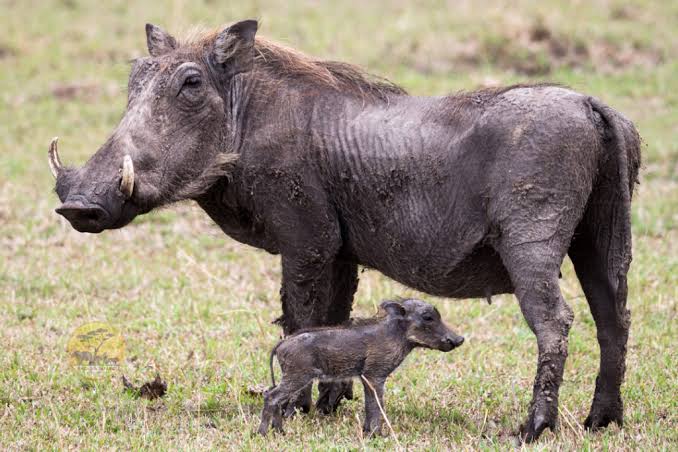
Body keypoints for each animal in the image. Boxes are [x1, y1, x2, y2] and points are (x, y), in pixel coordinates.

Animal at [257, 298, 464, 436]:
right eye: (428, 317)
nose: (460, 339)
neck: (398, 335)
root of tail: (282, 344)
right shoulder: (376, 375)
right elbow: (377, 403)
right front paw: (377, 435)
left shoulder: (368, 377)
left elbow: (370, 403)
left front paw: (368, 432)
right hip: (298, 376)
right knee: (272, 396)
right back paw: (263, 433)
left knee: (275, 396)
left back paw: (280, 432)